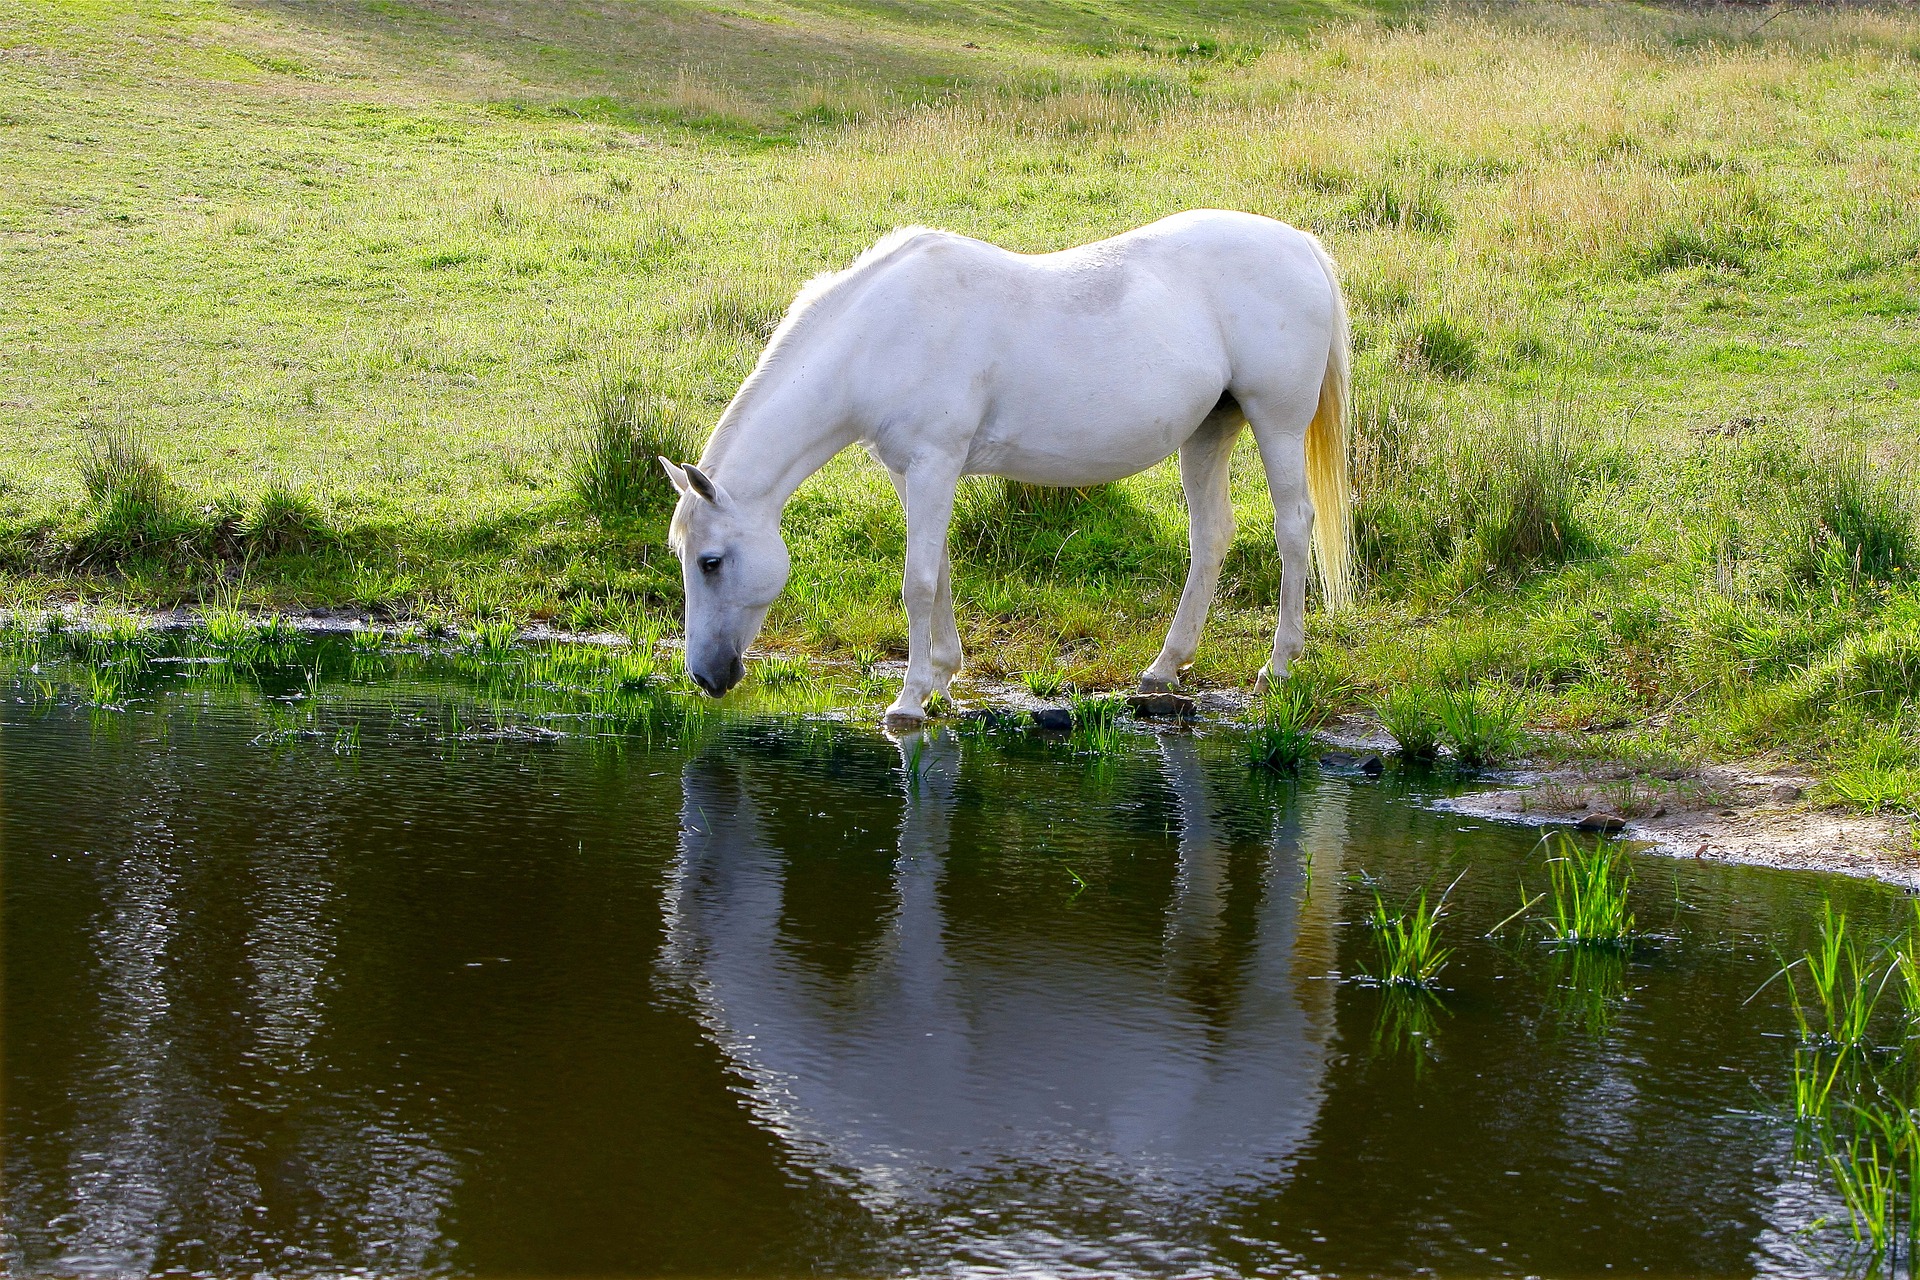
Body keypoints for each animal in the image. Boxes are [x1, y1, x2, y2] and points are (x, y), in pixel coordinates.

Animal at [660, 208, 1352, 722]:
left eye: (710, 561)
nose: (706, 675)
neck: (881, 333)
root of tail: (1301, 246)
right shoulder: (911, 471)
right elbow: (937, 570)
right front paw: (941, 676)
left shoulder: (934, 463)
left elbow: (917, 580)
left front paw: (908, 701)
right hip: (1209, 432)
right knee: (1210, 536)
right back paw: (1163, 669)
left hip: (1277, 423)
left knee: (1294, 527)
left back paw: (1279, 664)